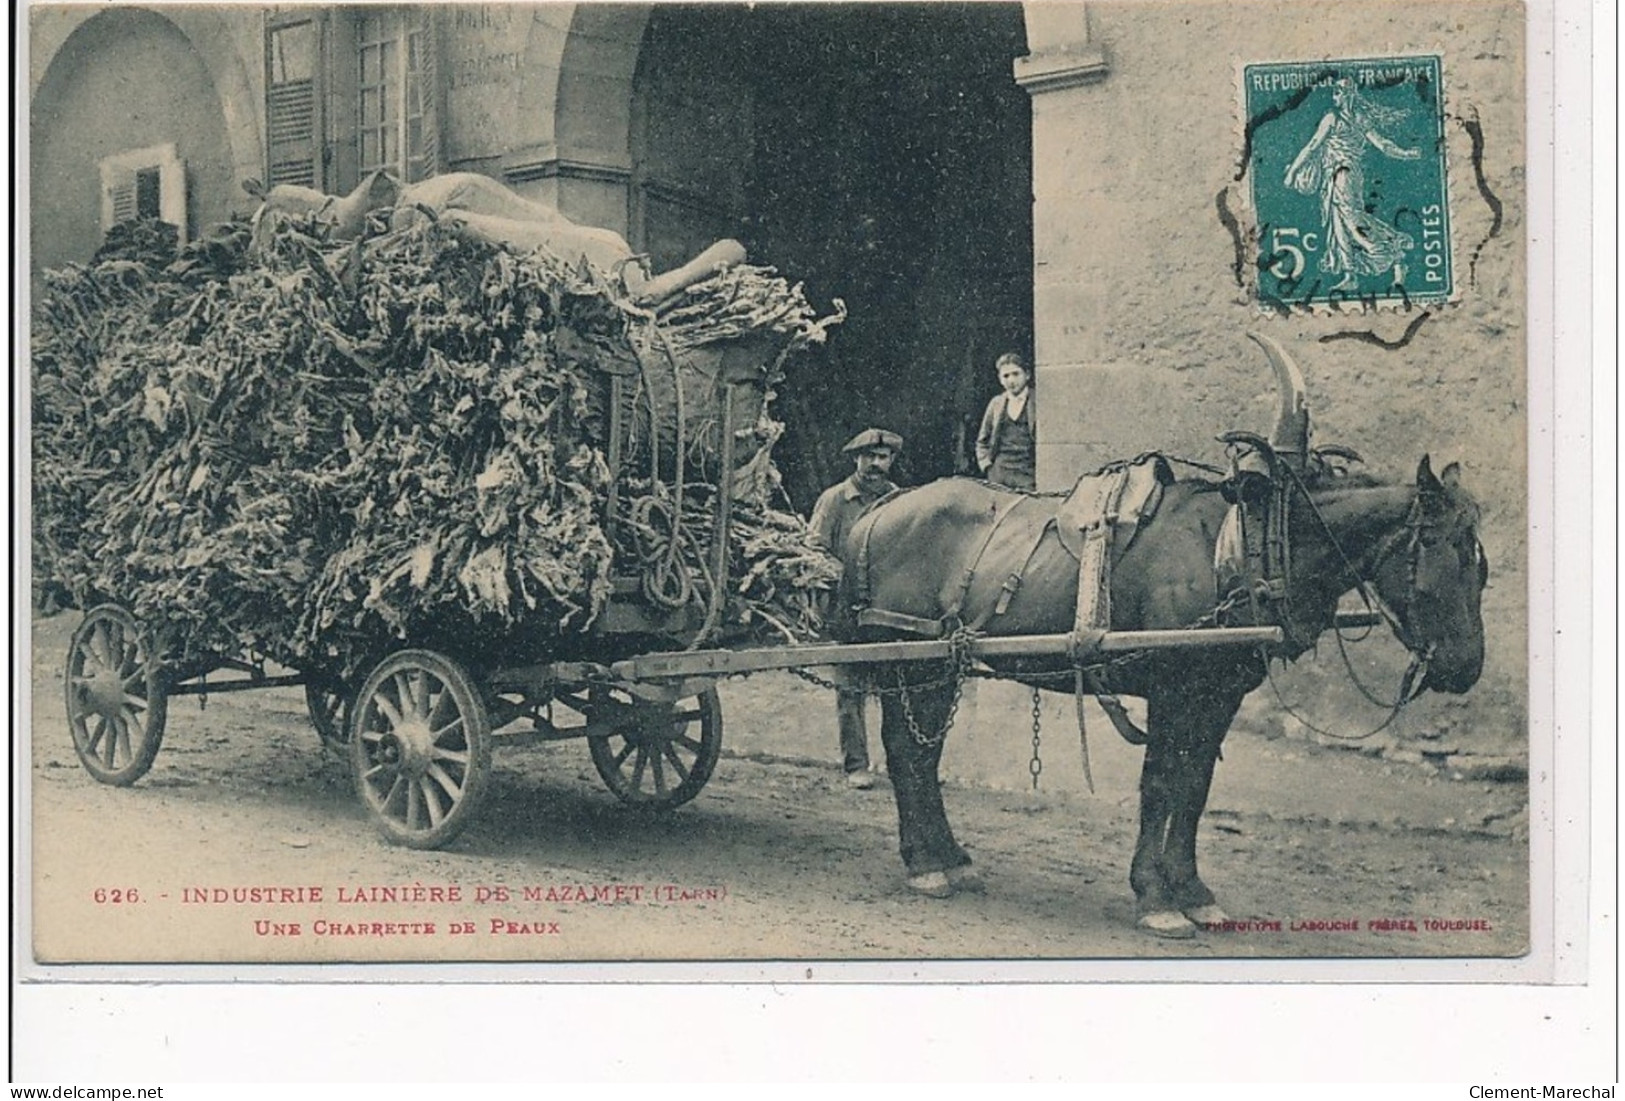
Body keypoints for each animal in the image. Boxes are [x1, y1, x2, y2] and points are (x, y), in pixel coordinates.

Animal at [838, 339, 1488, 941]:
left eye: (1480, 566)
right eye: (1442, 553)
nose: (1466, 668)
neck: (1241, 549)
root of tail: (881, 511)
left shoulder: (1218, 695)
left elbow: (1194, 788)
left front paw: (1193, 891)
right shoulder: (1173, 689)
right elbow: (1159, 784)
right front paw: (1155, 896)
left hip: (938, 662)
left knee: (923, 752)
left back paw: (948, 856)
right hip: (911, 657)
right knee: (906, 750)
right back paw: (925, 863)